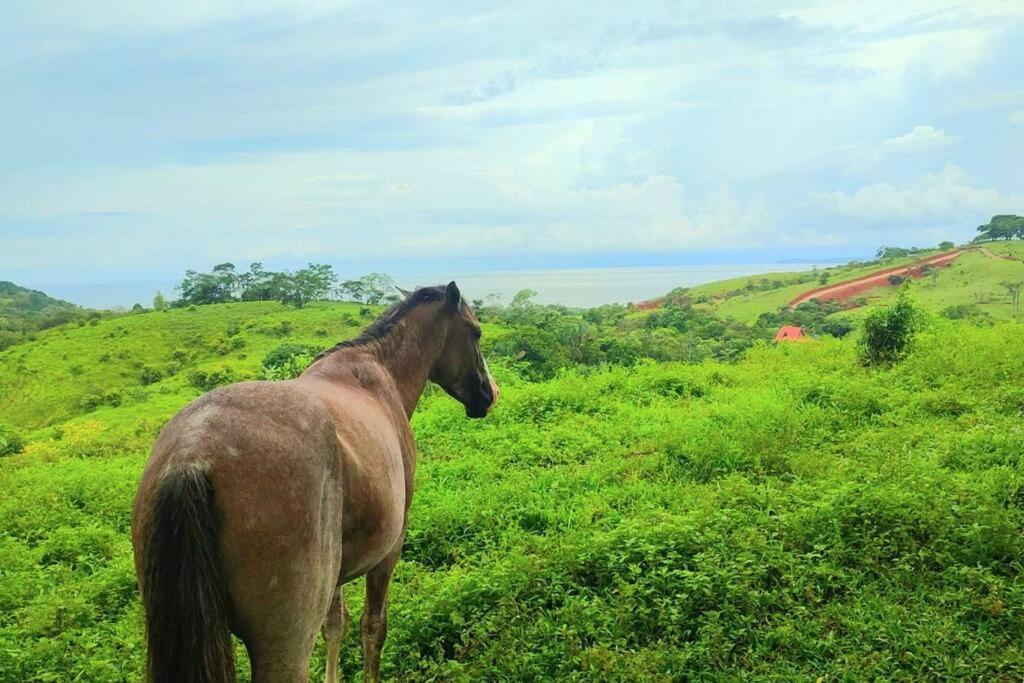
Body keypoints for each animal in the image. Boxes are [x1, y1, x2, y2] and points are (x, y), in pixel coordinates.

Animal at [132, 282, 499, 683]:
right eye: (476, 332)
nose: (489, 394)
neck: (378, 374)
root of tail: (191, 453)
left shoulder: (335, 573)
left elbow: (335, 625)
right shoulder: (390, 549)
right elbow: (373, 628)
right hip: (284, 646)